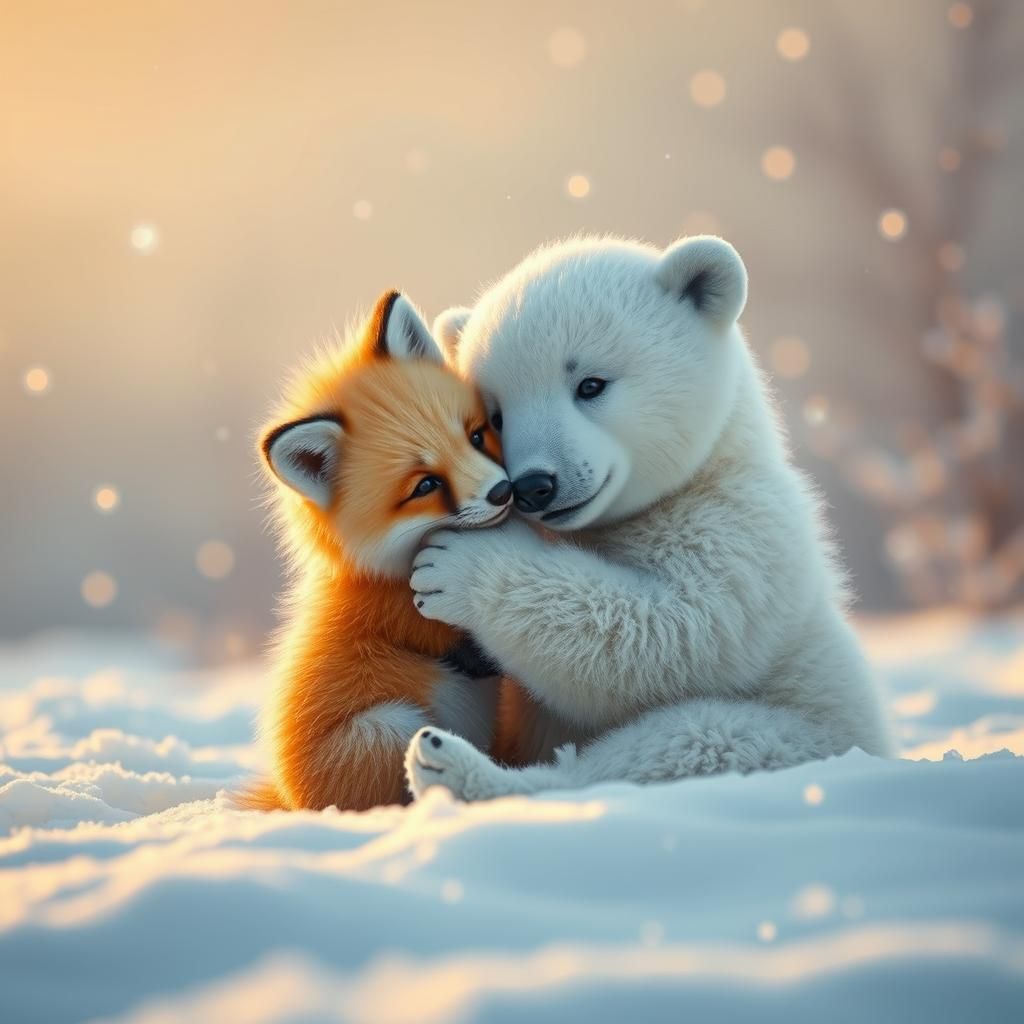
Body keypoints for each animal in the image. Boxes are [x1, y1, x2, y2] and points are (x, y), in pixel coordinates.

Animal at [241, 289, 512, 812]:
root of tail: (289, 796)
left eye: (476, 435)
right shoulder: (411, 620)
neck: (387, 576)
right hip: (395, 726)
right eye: (425, 485)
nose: (503, 492)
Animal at [403, 235, 892, 801]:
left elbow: (668, 631)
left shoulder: (741, 527)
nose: (534, 486)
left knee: (694, 740)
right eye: (497, 417)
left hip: (804, 733)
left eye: (591, 384)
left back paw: (454, 766)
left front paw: (451, 567)